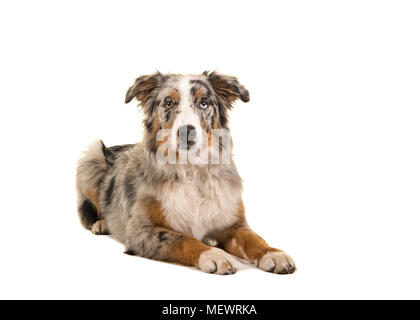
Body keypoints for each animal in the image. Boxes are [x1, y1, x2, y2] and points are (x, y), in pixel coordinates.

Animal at [77, 72, 296, 276]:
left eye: (204, 103)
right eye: (168, 102)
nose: (186, 132)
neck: (193, 170)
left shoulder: (233, 224)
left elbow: (254, 238)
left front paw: (273, 253)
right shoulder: (140, 230)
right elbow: (183, 239)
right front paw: (214, 254)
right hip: (91, 157)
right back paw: (101, 224)